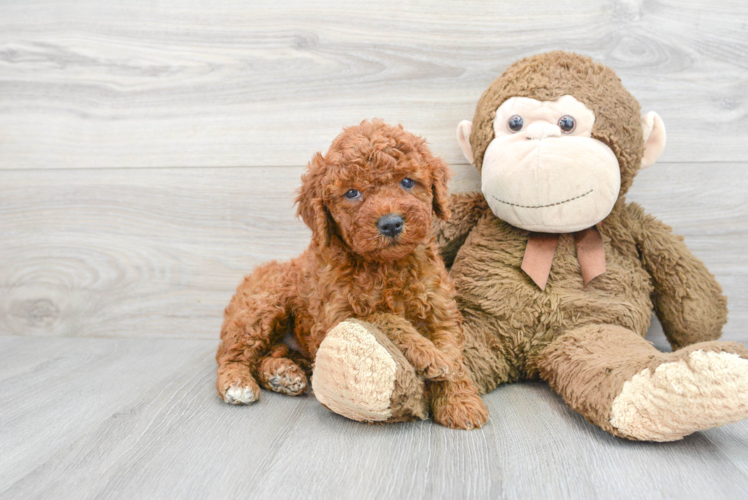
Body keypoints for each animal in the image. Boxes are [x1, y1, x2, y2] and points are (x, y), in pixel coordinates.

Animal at [213, 118, 488, 430]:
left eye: (407, 182)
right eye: (352, 192)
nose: (391, 223)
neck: (386, 266)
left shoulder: (439, 307)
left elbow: (452, 353)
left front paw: (460, 402)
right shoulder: (337, 316)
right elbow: (384, 318)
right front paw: (430, 355)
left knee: (270, 353)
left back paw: (282, 373)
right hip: (261, 305)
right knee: (231, 354)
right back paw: (238, 382)